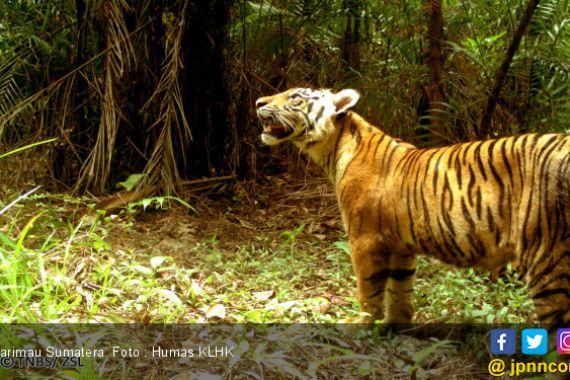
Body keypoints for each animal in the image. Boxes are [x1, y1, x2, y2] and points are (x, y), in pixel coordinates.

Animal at [254, 87, 568, 326]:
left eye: (296, 96)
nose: (258, 102)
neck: (336, 146)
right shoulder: (400, 245)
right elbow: (399, 288)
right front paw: (397, 324)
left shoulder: (364, 240)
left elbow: (368, 289)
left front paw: (362, 324)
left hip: (547, 257)